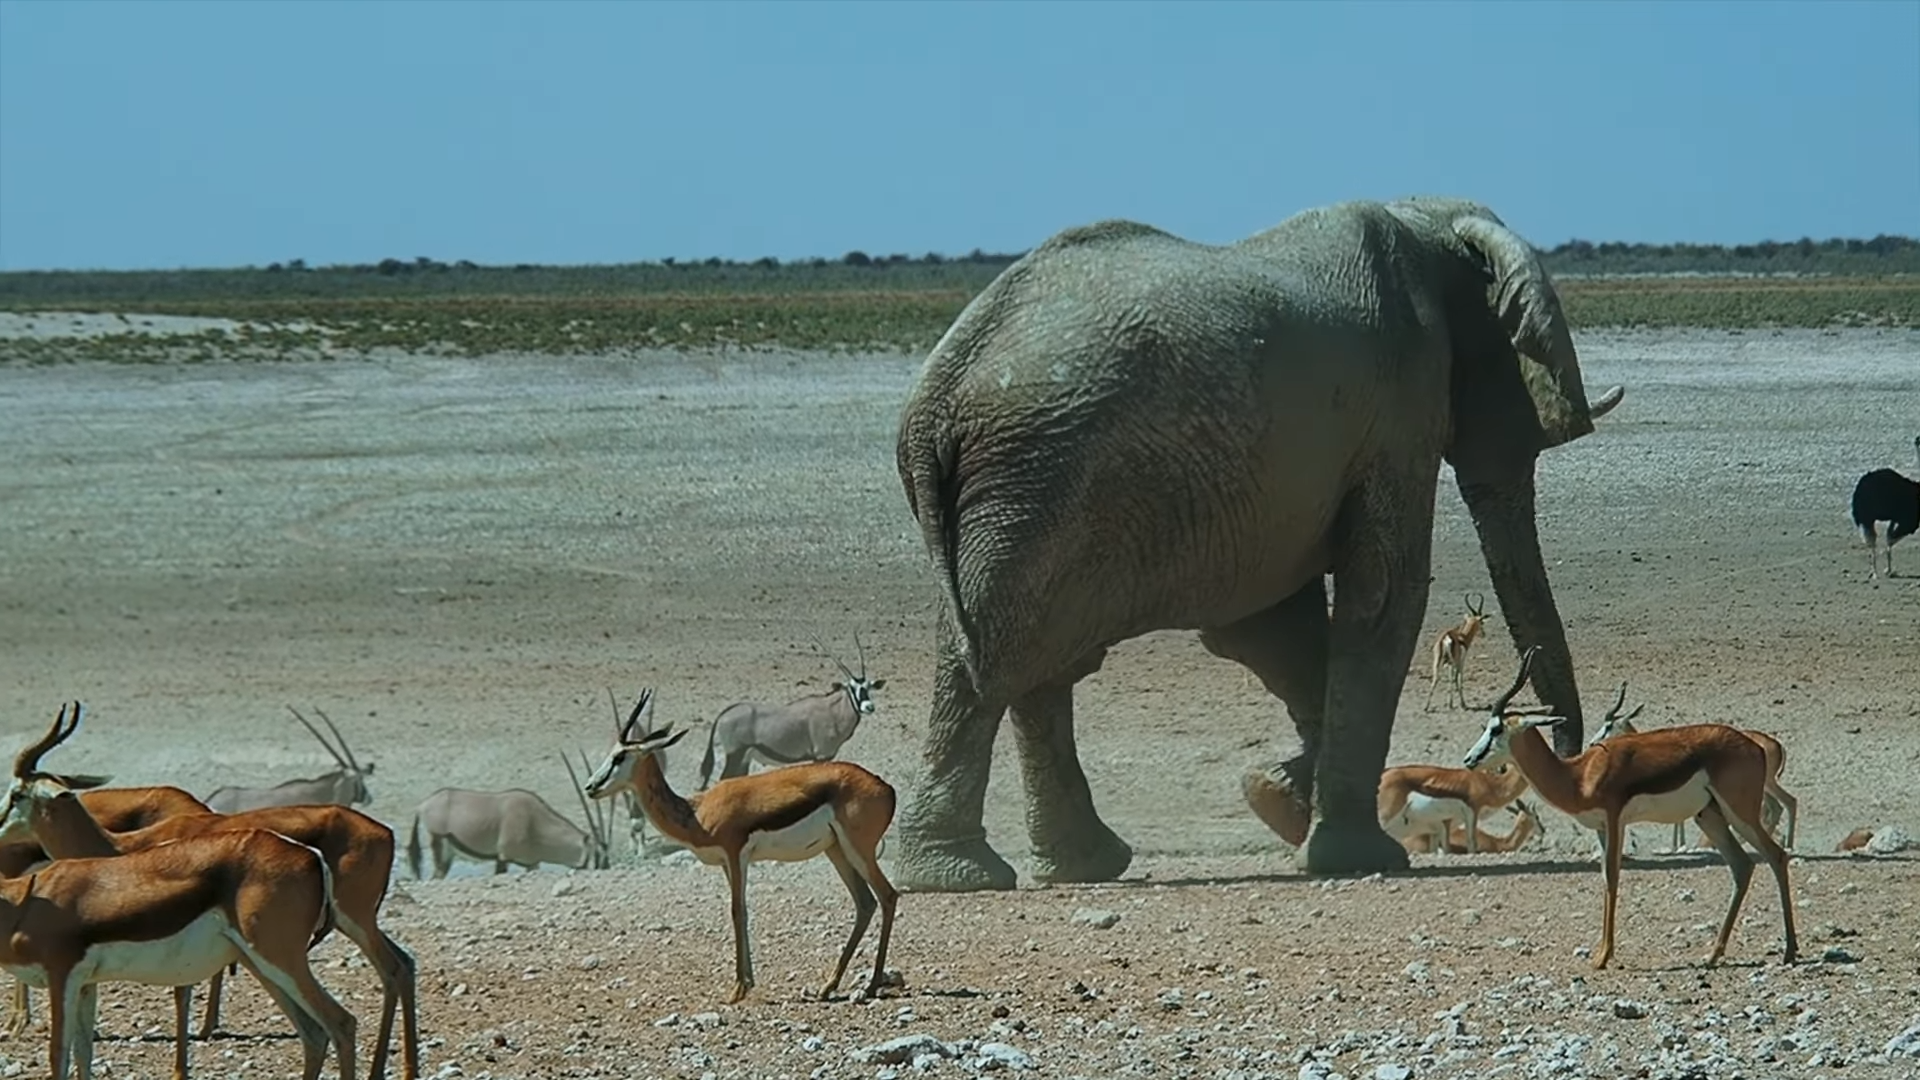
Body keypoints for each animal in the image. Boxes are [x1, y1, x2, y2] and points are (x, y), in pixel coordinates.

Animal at [889, 196, 1625, 891]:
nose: (1557, 737)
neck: (1428, 219)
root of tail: (934, 402)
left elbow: (1270, 628)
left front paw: (1277, 797)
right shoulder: (1401, 401)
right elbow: (1383, 593)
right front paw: (1355, 856)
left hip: (1023, 498)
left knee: (1017, 664)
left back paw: (1065, 867)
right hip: (1040, 486)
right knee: (1007, 659)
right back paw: (966, 874)